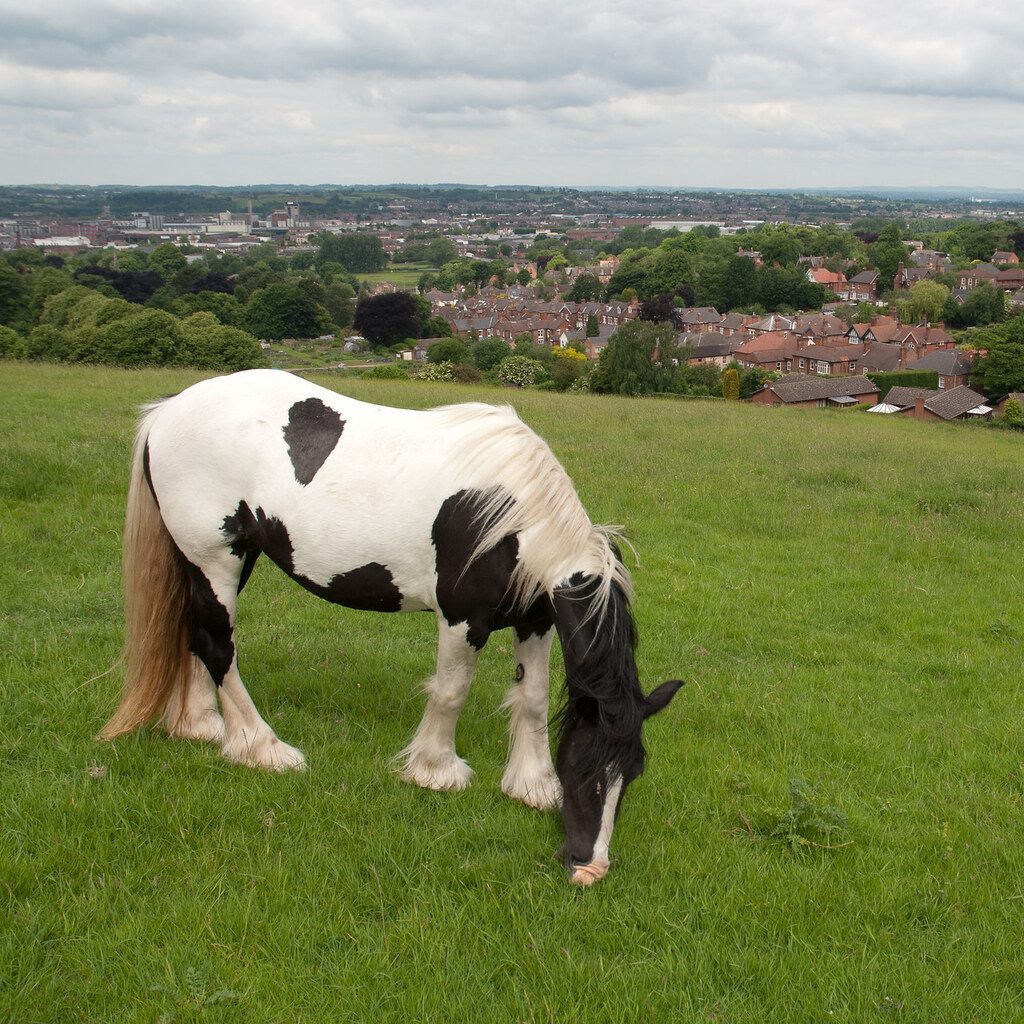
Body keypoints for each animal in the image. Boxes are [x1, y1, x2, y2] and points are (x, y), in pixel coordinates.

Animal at [100, 369, 681, 884]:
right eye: (585, 770)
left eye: (632, 772)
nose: (589, 869)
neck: (517, 520)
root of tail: (167, 410)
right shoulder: (462, 619)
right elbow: (451, 691)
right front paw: (436, 771)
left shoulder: (534, 620)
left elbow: (533, 698)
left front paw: (530, 785)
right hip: (216, 559)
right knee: (219, 646)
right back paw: (263, 749)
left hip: (223, 561)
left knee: (197, 635)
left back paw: (200, 724)